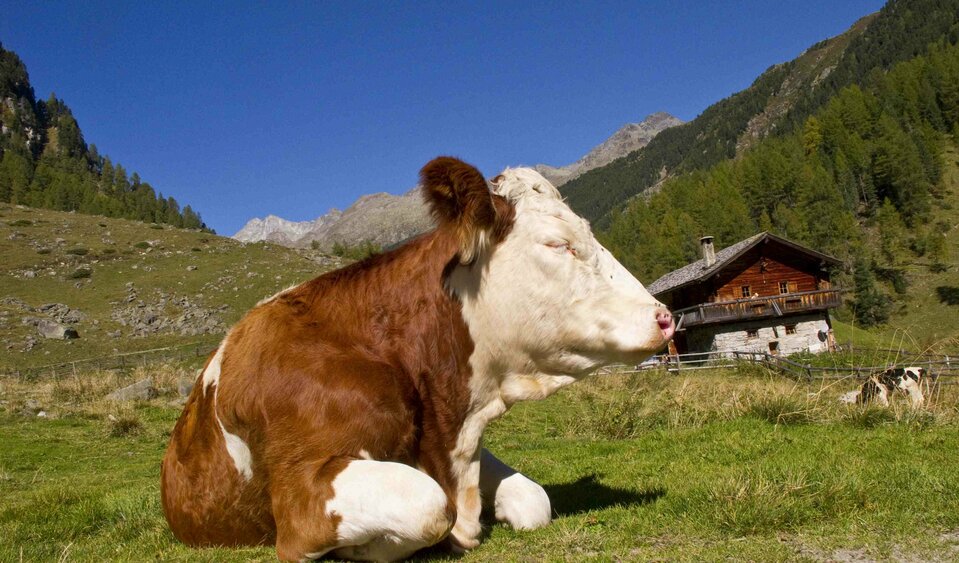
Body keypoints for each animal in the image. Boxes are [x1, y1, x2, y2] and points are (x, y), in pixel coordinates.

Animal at [161, 157, 675, 561]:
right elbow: (429, 505)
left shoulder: (460, 438)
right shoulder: (301, 486)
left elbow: (533, 500)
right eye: (557, 243)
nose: (664, 316)